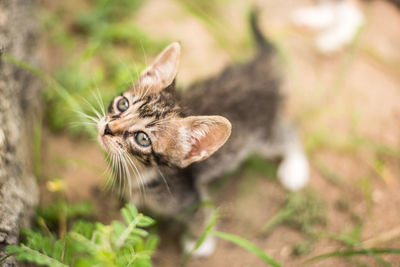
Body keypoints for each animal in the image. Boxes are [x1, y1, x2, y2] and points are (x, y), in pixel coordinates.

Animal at [97, 15, 310, 258]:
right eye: (123, 104)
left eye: (143, 139)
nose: (107, 128)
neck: (140, 172)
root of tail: (257, 70)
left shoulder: (190, 198)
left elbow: (200, 217)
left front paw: (199, 243)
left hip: (265, 133)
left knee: (288, 133)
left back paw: (295, 168)